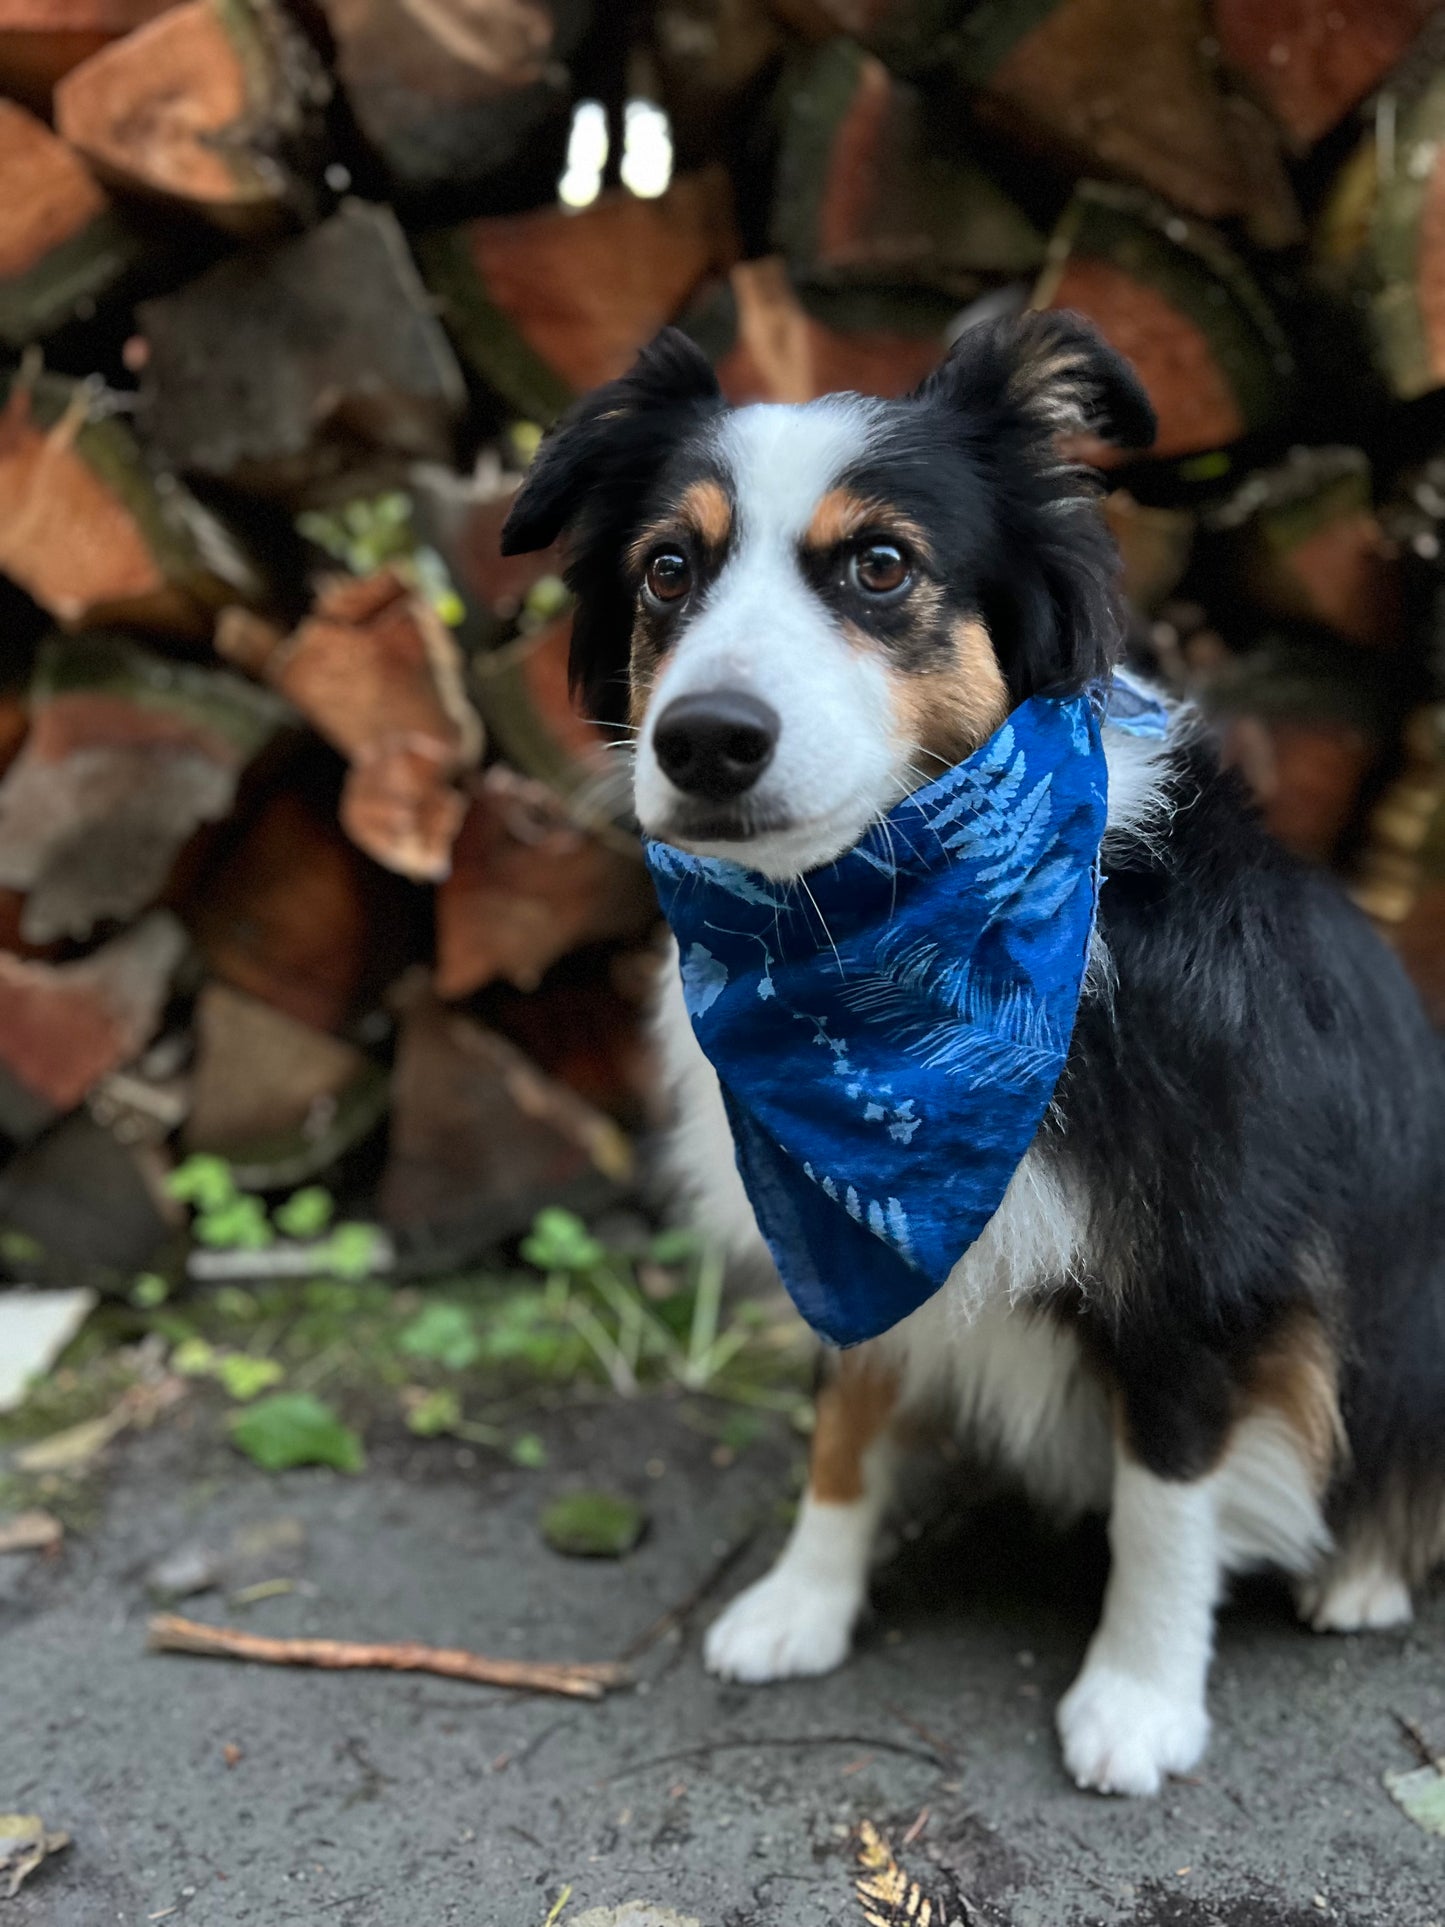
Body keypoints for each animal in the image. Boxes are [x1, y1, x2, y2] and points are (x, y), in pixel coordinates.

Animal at [504, 308, 1445, 1795]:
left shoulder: (1198, 1264)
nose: (705, 740)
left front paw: (1136, 1698)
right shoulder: (846, 1234)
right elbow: (843, 1415)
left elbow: (1165, 1497)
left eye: (881, 564)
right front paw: (803, 1601)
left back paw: (1359, 1575)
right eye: (667, 566)